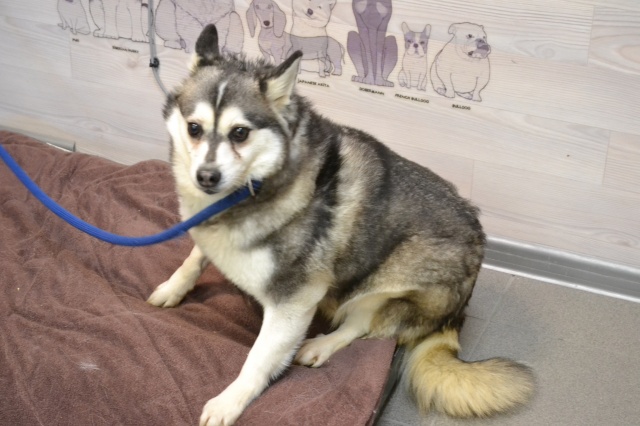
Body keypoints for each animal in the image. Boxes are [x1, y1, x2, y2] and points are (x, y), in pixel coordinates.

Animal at [148, 24, 534, 426]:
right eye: (194, 128)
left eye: (240, 132)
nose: (206, 177)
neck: (257, 187)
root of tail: (457, 314)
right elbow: (195, 255)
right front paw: (174, 286)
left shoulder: (294, 300)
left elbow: (258, 357)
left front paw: (230, 400)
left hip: (387, 281)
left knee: (362, 325)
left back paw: (321, 344)